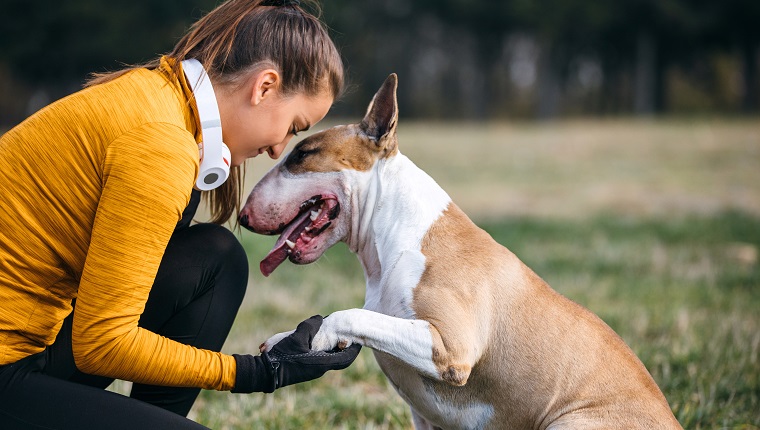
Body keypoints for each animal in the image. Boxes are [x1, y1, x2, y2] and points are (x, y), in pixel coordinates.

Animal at [239, 74, 684, 430]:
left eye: (302, 154)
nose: (242, 216)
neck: (395, 237)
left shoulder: (451, 348)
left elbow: (350, 315)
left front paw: (317, 337)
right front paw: (285, 340)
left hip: (573, 421)